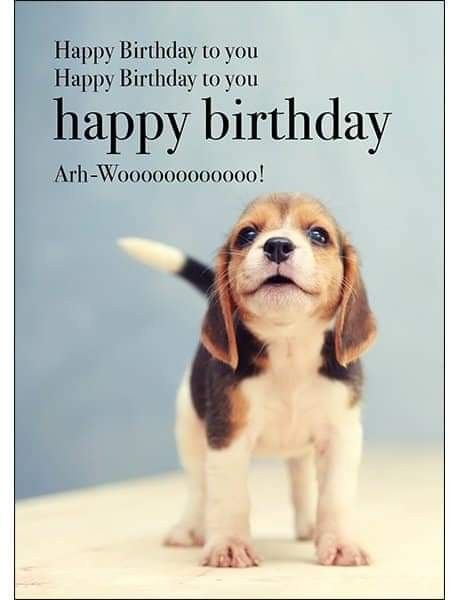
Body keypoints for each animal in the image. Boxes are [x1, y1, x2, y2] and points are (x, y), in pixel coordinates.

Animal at [119, 192, 378, 568]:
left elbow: (334, 495)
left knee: (300, 479)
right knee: (199, 486)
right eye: (247, 234)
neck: (288, 349)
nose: (278, 245)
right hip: (189, 426)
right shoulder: (228, 433)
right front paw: (228, 545)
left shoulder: (340, 434)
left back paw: (308, 526)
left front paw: (340, 543)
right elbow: (229, 496)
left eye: (318, 235)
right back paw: (190, 528)